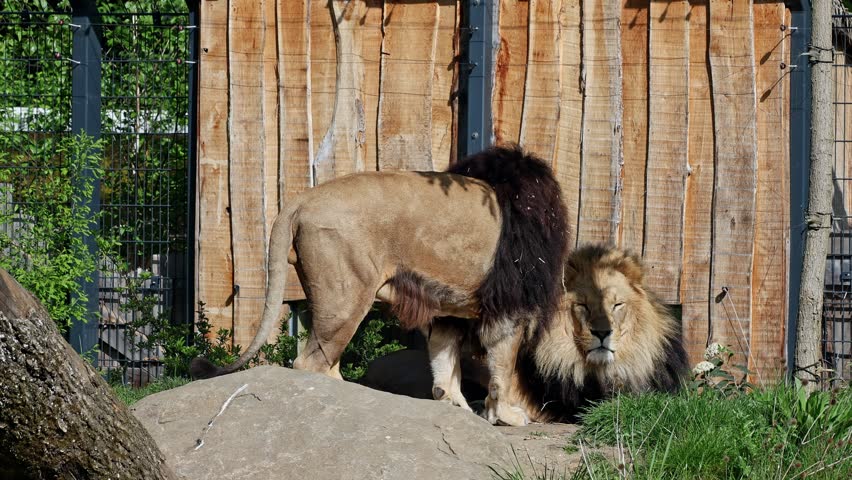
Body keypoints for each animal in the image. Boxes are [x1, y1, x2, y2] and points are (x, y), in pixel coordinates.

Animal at [191, 145, 569, 426]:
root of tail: (299, 201)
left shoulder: (448, 307)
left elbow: (445, 362)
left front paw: (454, 405)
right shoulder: (511, 304)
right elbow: (501, 366)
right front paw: (505, 415)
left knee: (326, 362)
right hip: (346, 299)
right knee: (311, 363)